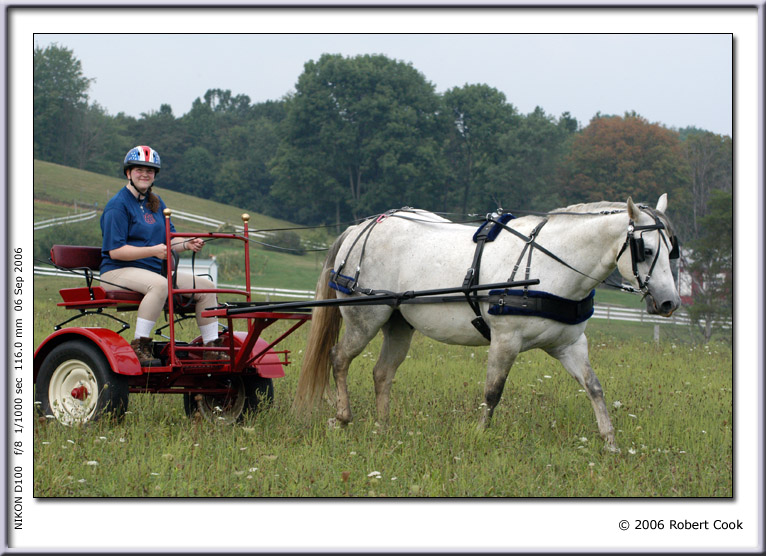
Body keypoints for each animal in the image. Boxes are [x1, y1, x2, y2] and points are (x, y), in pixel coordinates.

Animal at [296, 193, 684, 450]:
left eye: (672, 250)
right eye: (646, 250)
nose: (670, 302)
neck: (549, 264)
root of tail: (361, 227)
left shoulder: (570, 345)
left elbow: (594, 387)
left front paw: (610, 443)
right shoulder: (505, 340)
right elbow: (493, 392)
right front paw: (480, 435)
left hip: (398, 322)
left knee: (382, 373)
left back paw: (383, 427)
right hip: (365, 318)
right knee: (338, 358)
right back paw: (342, 417)